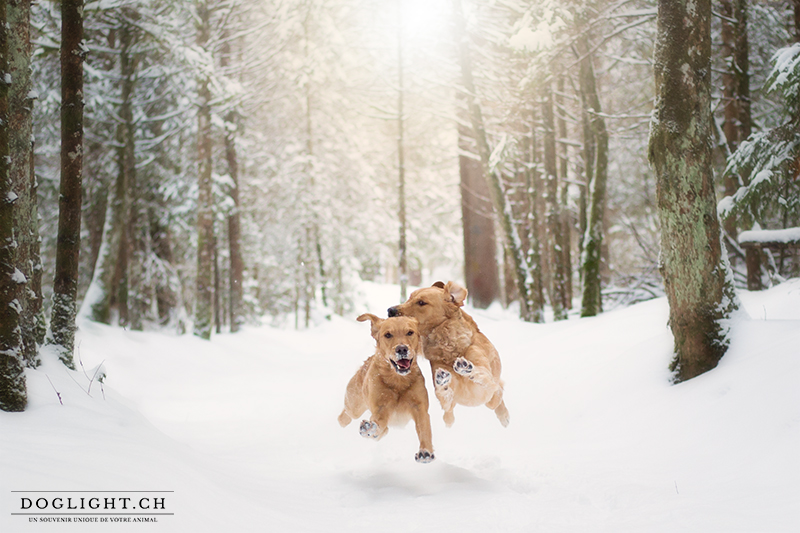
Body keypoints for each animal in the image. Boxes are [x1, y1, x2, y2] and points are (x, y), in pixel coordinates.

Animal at [340, 312, 438, 462]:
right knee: (345, 416)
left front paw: (425, 452)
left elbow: (424, 429)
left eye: (410, 332)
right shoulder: (380, 408)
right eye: (388, 335)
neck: (397, 381)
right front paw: (370, 428)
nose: (402, 349)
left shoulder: (420, 407)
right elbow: (378, 423)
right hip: (354, 405)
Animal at [390, 280, 512, 426]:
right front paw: (443, 383)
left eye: (421, 302)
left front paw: (466, 368)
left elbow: (486, 380)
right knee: (449, 419)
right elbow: (444, 398)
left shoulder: (488, 387)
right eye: (409, 298)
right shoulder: (449, 401)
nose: (390, 311)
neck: (451, 351)